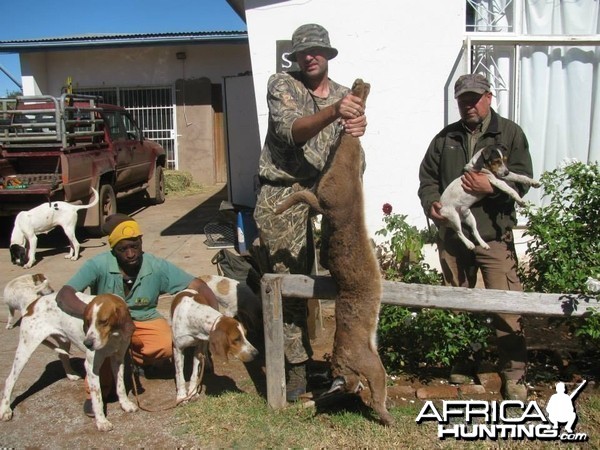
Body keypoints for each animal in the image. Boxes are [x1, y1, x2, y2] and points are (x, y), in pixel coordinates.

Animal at [0, 292, 137, 432]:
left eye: (104, 321)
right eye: (87, 321)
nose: (87, 344)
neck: (113, 336)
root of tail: (33, 304)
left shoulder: (118, 360)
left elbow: (120, 386)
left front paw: (125, 404)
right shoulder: (91, 366)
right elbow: (97, 396)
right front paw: (101, 421)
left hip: (64, 340)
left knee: (63, 356)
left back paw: (71, 374)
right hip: (26, 349)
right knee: (10, 380)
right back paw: (5, 410)